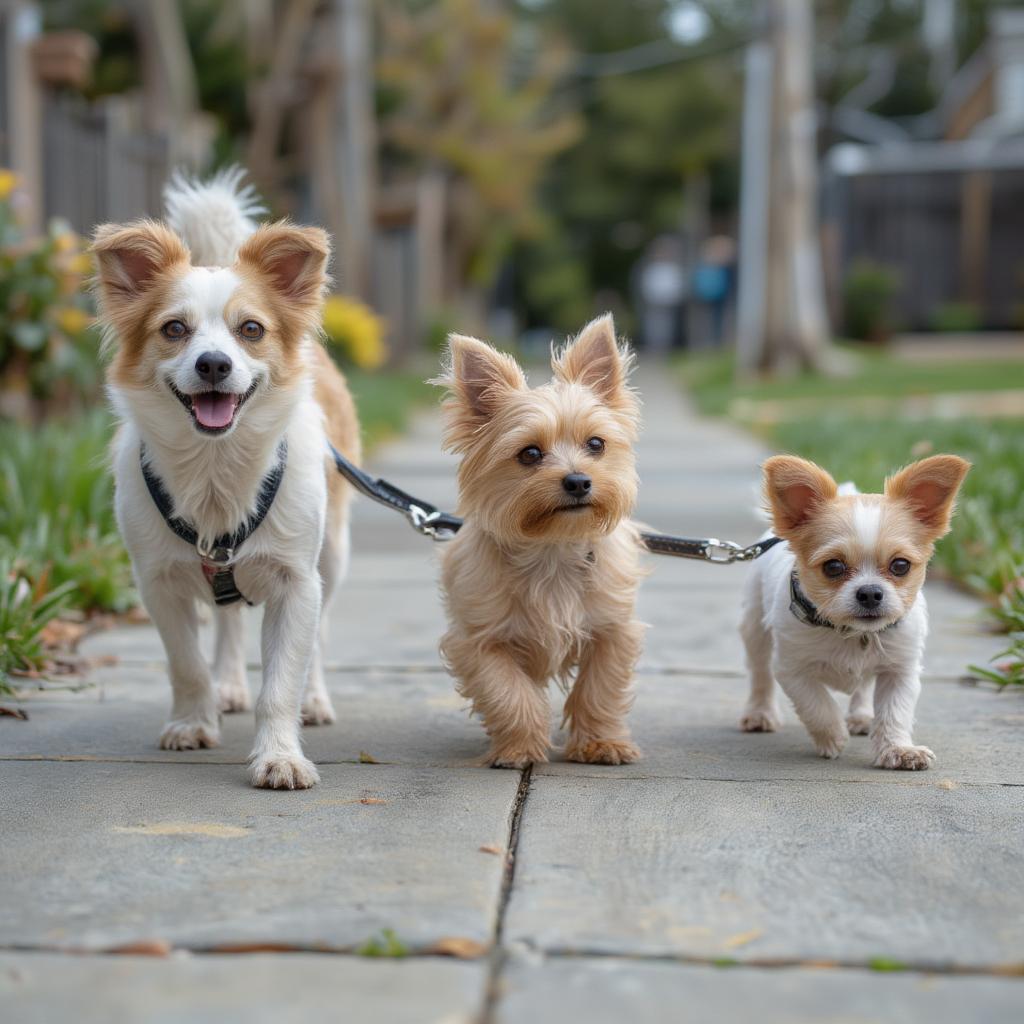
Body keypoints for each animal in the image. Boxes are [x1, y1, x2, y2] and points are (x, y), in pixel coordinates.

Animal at [92, 172, 362, 786]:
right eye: (174, 329)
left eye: (251, 330)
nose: (213, 363)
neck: (216, 470)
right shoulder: (158, 583)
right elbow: (187, 663)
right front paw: (195, 720)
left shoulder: (296, 582)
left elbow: (283, 679)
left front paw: (280, 754)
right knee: (229, 621)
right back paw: (230, 686)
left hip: (332, 556)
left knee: (319, 638)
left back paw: (315, 699)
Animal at [741, 454, 970, 770]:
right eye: (833, 567)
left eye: (901, 565)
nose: (870, 592)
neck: (852, 633)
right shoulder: (792, 670)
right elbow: (816, 704)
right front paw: (833, 737)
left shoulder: (901, 671)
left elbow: (894, 713)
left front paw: (898, 750)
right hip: (755, 631)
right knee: (760, 675)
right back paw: (760, 713)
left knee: (863, 687)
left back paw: (861, 716)